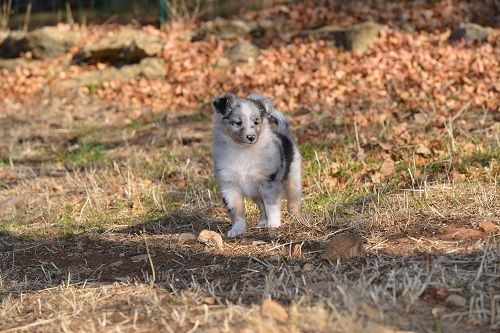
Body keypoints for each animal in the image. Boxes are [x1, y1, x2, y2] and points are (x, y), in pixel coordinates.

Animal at [211, 92, 300, 236]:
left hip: (293, 177)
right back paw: (262, 222)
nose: (251, 137)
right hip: (255, 191)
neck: (243, 150)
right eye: (238, 123)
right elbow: (236, 210)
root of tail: (283, 134)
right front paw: (237, 229)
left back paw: (297, 219)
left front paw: (274, 224)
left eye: (256, 122)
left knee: (293, 201)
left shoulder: (268, 182)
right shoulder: (230, 186)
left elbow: (271, 206)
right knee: (261, 205)